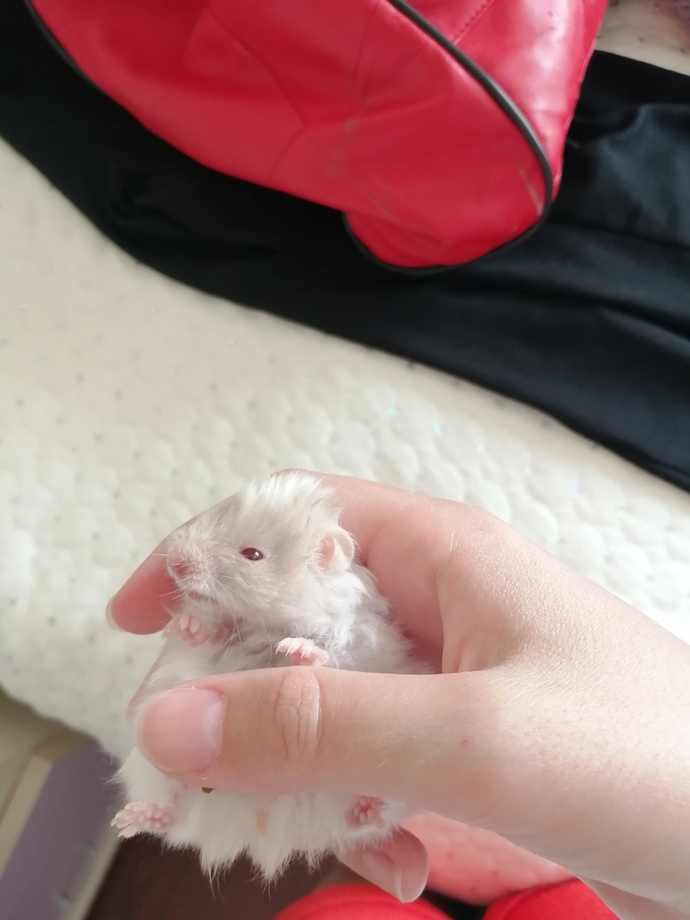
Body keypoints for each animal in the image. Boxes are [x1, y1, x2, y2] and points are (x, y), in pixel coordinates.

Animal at [112, 472, 432, 879]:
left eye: (253, 554)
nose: (174, 563)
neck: (265, 624)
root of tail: (251, 824)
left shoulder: (356, 640)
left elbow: (328, 653)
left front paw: (296, 650)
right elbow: (208, 635)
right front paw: (186, 625)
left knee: (361, 821)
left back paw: (368, 808)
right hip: (157, 771)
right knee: (172, 811)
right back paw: (130, 820)